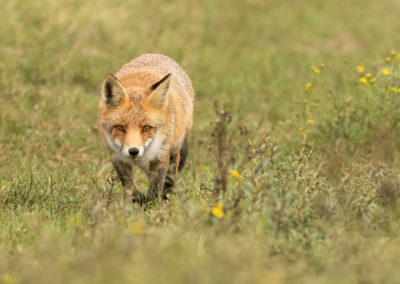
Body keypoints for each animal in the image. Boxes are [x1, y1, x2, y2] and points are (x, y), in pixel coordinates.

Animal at [98, 53, 195, 203]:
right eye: (119, 127)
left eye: (147, 128)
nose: (133, 151)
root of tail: (156, 54)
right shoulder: (116, 157)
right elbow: (130, 186)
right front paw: (138, 200)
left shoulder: (161, 157)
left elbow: (156, 190)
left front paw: (151, 206)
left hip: (174, 150)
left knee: (170, 179)